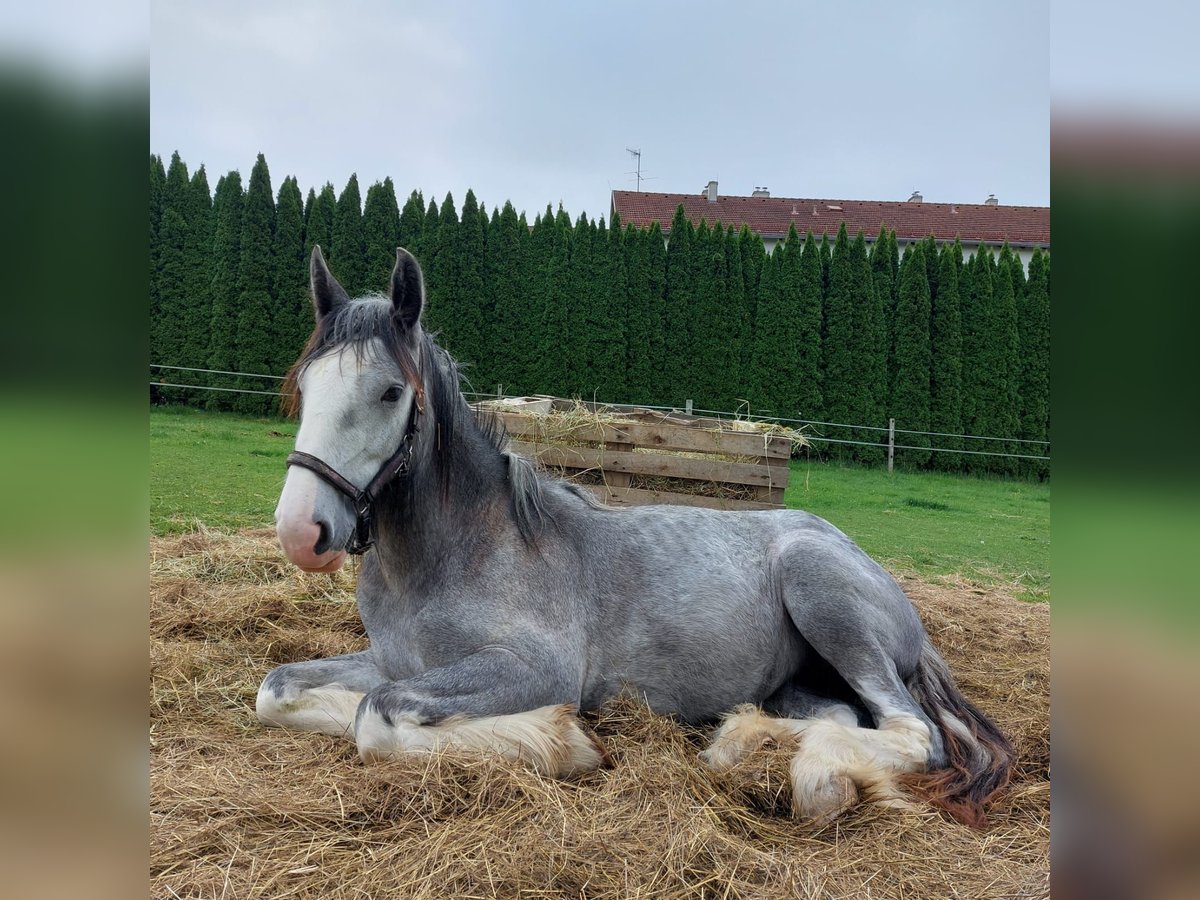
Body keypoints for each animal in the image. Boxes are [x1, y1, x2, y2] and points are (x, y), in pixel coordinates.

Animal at [257, 245, 1013, 827]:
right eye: (306, 383)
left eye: (390, 392)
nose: (301, 529)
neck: (460, 552)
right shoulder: (394, 662)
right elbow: (279, 691)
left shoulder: (531, 668)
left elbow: (378, 720)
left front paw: (561, 739)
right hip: (798, 682)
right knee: (847, 720)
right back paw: (743, 740)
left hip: (822, 591)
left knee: (912, 733)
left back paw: (801, 772)